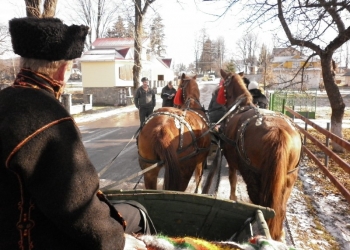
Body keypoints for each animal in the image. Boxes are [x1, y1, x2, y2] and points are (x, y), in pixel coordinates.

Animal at [217, 68, 302, 240]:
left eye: (223, 85)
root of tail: (278, 132)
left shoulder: (232, 162)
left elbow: (232, 181)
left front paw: (232, 199)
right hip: (289, 178)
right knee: (280, 207)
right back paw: (278, 233)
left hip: (252, 175)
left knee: (261, 204)